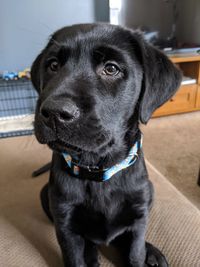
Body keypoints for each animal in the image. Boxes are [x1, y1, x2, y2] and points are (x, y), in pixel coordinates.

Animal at [30, 23, 181, 267]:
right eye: (53, 65)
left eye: (111, 69)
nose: (54, 112)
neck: (98, 170)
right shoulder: (65, 223)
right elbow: (74, 258)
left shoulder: (138, 219)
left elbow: (135, 253)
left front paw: (143, 254)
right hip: (46, 195)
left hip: (149, 191)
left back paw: (152, 253)